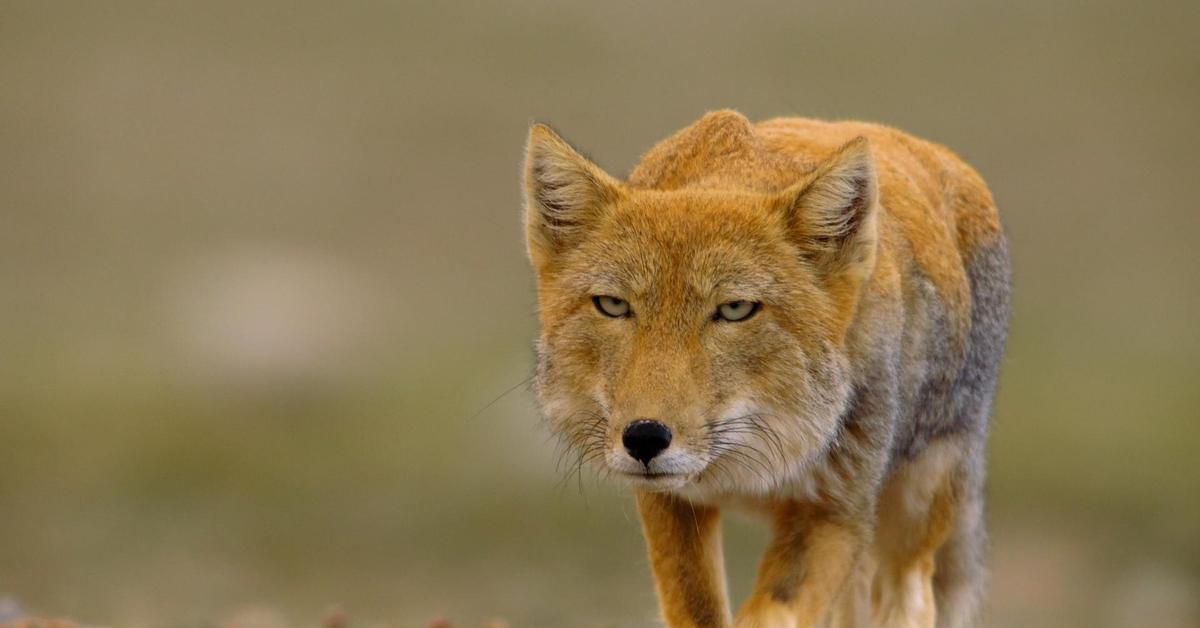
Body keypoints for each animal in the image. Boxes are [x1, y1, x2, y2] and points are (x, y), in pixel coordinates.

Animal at [520, 111, 1008, 628]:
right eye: (613, 305)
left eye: (735, 309)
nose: (645, 437)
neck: (746, 472)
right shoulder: (669, 503)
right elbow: (698, 612)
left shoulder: (835, 513)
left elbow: (770, 615)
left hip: (907, 524)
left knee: (913, 597)